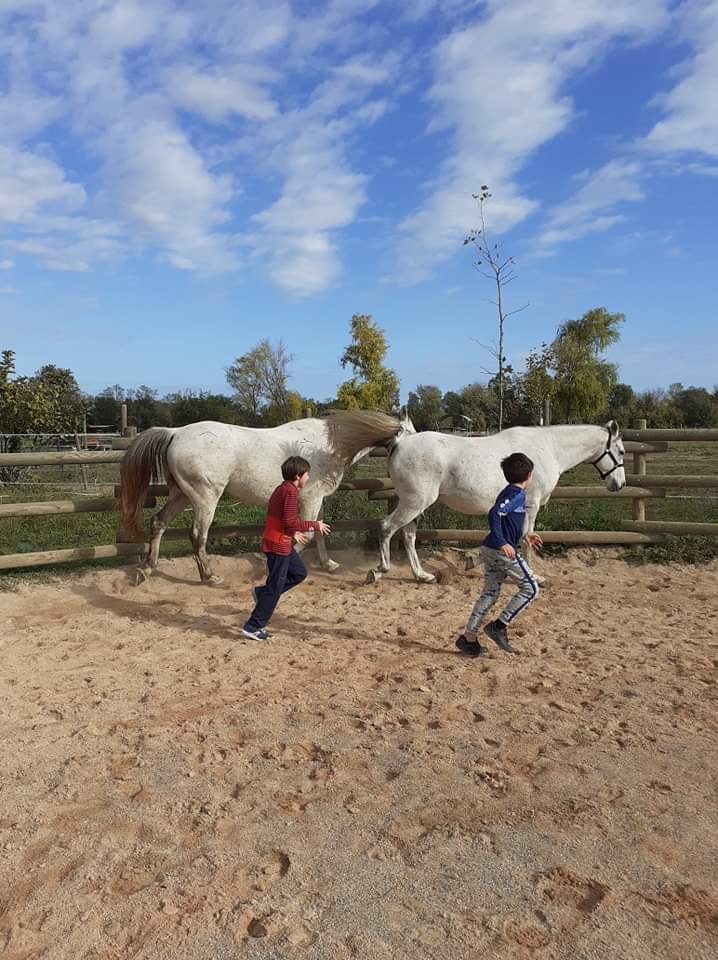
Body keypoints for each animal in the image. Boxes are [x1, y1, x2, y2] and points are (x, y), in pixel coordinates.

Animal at [119, 409, 414, 585]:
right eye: (414, 433)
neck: (328, 446)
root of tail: (175, 433)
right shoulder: (311, 499)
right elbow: (306, 536)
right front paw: (266, 571)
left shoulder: (314, 500)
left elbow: (318, 533)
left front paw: (328, 564)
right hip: (205, 498)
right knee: (197, 536)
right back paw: (210, 576)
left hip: (181, 495)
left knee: (158, 523)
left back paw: (146, 569)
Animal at [368, 420, 626, 583]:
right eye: (622, 451)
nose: (620, 484)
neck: (548, 449)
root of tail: (400, 443)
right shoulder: (530, 505)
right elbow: (525, 539)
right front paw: (535, 576)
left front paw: (472, 561)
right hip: (415, 501)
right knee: (387, 527)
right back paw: (380, 570)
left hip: (417, 504)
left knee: (408, 535)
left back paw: (422, 576)